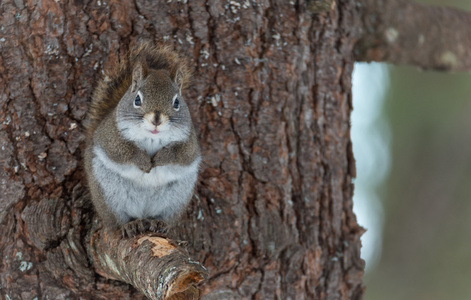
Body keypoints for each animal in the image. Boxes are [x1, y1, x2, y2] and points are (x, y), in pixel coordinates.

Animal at [83, 42, 201, 238]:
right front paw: (144, 161)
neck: (152, 137)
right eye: (137, 99)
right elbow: (123, 151)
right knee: (117, 221)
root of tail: (144, 214)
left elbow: (182, 155)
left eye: (177, 102)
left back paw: (160, 224)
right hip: (109, 195)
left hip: (177, 199)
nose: (156, 120)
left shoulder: (189, 141)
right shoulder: (110, 136)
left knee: (164, 217)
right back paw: (130, 225)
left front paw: (161, 158)